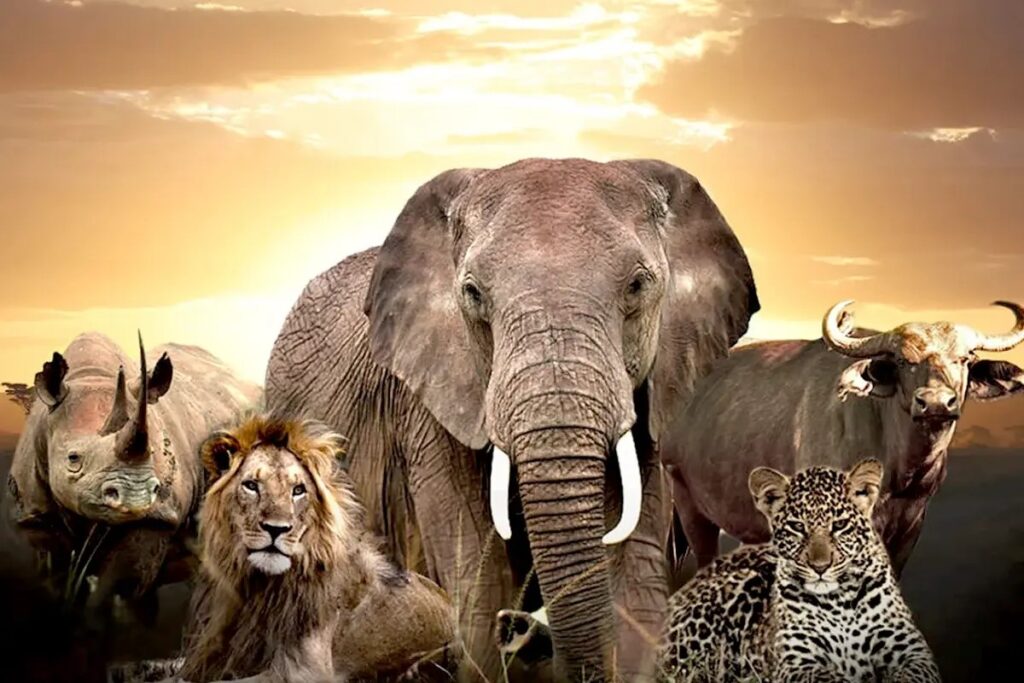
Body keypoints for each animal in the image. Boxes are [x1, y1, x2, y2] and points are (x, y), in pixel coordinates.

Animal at [175, 414, 457, 683]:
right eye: (251, 486)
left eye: (298, 490)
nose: (276, 529)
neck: (261, 588)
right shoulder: (208, 653)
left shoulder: (307, 670)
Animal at [265, 158, 759, 681]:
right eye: (473, 294)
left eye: (637, 286)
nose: (521, 631)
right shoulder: (430, 401)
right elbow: (480, 584)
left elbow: (636, 580)